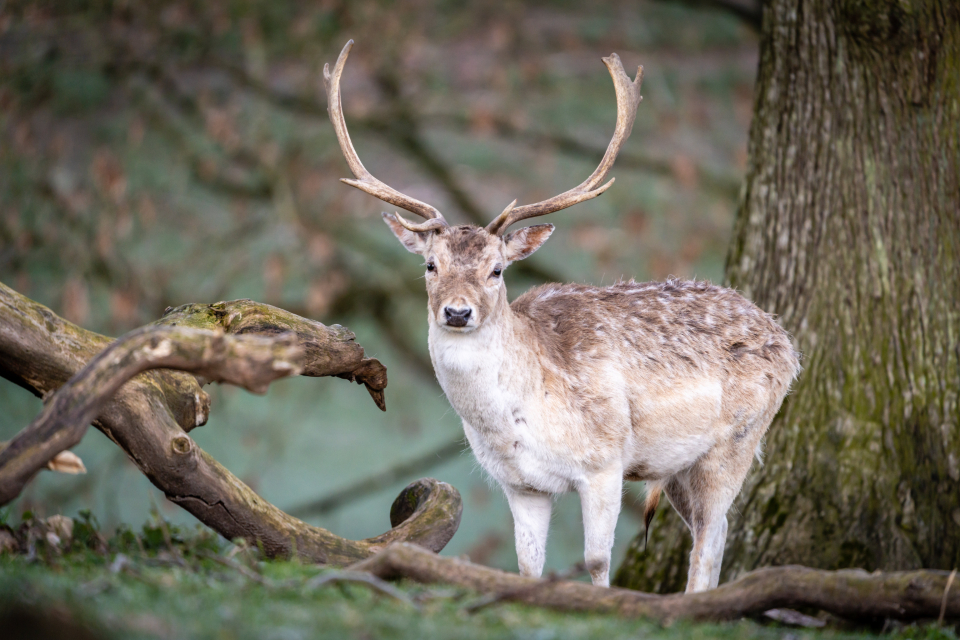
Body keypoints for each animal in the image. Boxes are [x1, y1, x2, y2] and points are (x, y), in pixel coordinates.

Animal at [322, 40, 800, 592]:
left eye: (497, 269)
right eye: (430, 265)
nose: (457, 312)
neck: (520, 415)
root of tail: (788, 341)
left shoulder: (605, 463)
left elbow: (595, 560)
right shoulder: (520, 483)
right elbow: (527, 565)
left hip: (735, 442)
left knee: (711, 535)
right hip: (679, 465)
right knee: (712, 533)